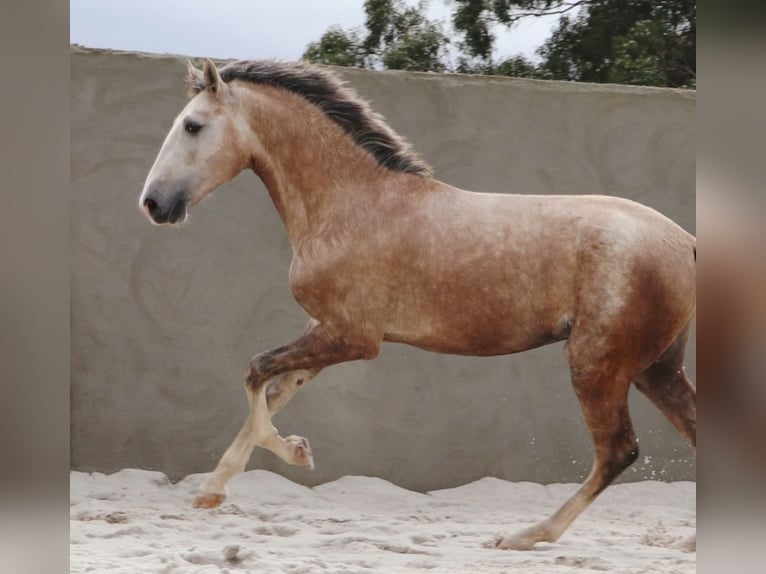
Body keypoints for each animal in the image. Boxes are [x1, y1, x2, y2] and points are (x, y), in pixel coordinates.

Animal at [138, 58, 696, 552]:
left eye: (192, 125)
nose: (153, 204)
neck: (352, 202)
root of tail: (686, 242)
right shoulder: (326, 330)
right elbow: (275, 391)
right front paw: (212, 490)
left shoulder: (352, 337)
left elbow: (255, 372)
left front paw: (295, 453)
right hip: (656, 369)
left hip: (597, 363)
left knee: (618, 451)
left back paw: (523, 536)